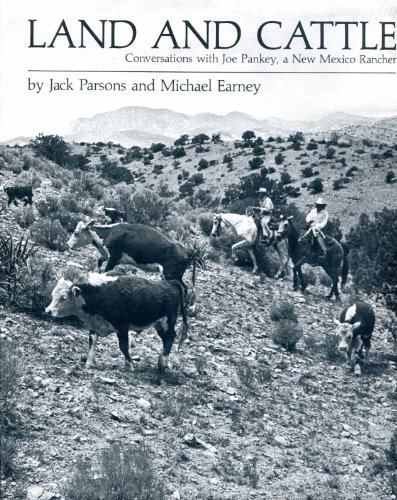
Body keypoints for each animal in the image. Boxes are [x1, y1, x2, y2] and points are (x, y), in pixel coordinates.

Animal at [45, 274, 188, 378]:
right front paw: (89, 362)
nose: (48, 311)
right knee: (166, 339)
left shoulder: (122, 327)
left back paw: (162, 363)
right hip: (158, 324)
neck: (102, 294)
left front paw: (129, 365)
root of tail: (170, 283)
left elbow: (123, 346)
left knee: (170, 337)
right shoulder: (94, 325)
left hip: (167, 321)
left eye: (63, 298)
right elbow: (92, 342)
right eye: (52, 295)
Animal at [69, 222, 197, 288]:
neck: (110, 232)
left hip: (171, 274)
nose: (67, 244)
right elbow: (99, 261)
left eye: (76, 232)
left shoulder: (114, 257)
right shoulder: (109, 256)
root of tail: (187, 250)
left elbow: (107, 271)